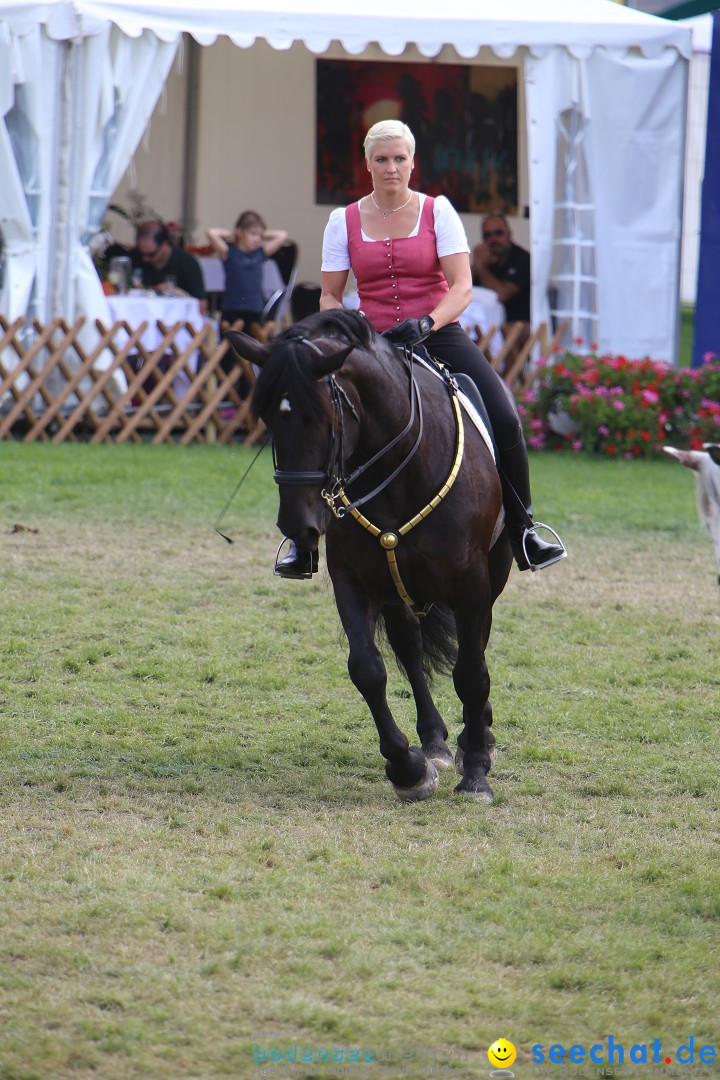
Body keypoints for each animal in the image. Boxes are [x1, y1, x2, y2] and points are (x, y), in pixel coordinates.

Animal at [229, 313, 511, 803]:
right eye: (266, 418)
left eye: (321, 416)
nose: (298, 525)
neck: (398, 467)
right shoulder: (354, 580)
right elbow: (367, 670)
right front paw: (409, 769)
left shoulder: (471, 583)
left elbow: (471, 673)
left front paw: (476, 768)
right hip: (396, 589)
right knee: (410, 648)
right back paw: (434, 742)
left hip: (491, 576)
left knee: (475, 647)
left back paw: (478, 738)